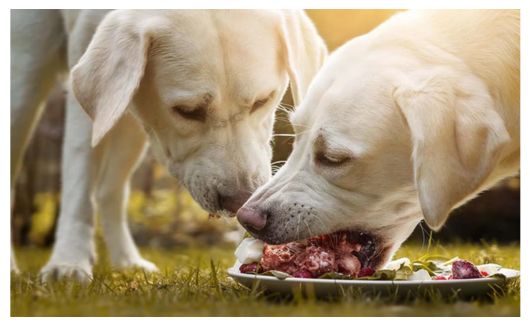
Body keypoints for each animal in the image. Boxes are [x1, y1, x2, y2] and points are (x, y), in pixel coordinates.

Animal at [11, 8, 326, 280]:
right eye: (188, 111)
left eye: (262, 100)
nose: (240, 200)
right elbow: (79, 176)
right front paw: (68, 262)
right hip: (26, 82)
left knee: (109, 190)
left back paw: (127, 261)